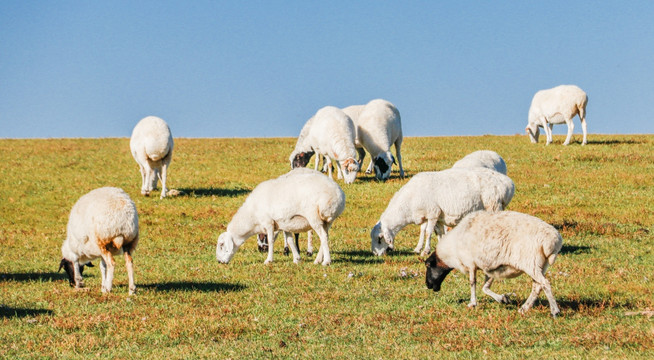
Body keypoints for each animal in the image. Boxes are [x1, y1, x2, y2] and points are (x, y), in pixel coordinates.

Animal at [217, 168, 348, 264]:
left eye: (222, 245)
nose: (219, 261)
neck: (252, 217)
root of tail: (338, 195)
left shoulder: (268, 222)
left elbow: (270, 240)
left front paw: (269, 260)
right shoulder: (285, 224)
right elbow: (290, 241)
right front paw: (296, 259)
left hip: (314, 217)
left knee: (323, 237)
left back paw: (326, 261)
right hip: (328, 221)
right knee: (325, 236)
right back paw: (317, 260)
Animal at [372, 168, 516, 256]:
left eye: (379, 239)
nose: (375, 254)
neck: (408, 204)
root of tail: (508, 183)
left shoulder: (433, 213)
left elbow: (429, 232)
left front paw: (425, 251)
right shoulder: (428, 215)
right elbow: (430, 231)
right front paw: (422, 248)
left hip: (494, 205)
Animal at [426, 211, 564, 318]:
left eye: (427, 265)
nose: (428, 285)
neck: (452, 250)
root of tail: (553, 242)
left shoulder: (471, 263)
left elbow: (472, 283)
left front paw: (472, 303)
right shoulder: (490, 267)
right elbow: (485, 287)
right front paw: (503, 299)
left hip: (531, 263)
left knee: (545, 284)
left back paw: (554, 311)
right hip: (540, 265)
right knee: (537, 286)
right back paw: (524, 308)